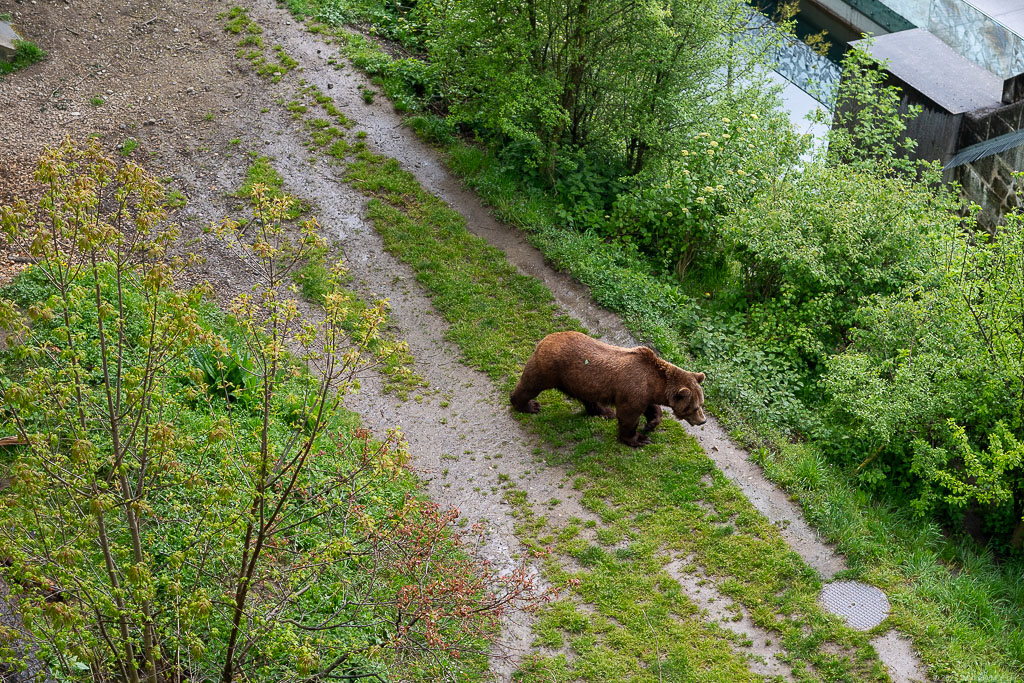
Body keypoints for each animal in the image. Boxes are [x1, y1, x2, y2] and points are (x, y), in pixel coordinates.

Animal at [509, 331, 708, 448]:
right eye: (695, 407)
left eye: (701, 403)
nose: (703, 420)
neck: (655, 383)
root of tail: (546, 339)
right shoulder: (633, 391)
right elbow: (628, 417)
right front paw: (638, 439)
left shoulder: (645, 393)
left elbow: (651, 408)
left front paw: (651, 423)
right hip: (549, 369)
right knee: (530, 385)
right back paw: (529, 405)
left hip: (580, 381)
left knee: (589, 399)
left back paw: (605, 412)